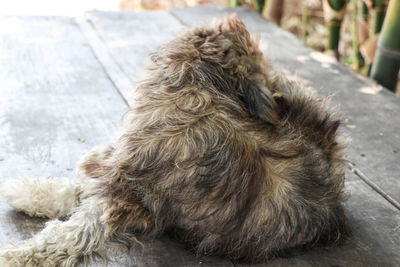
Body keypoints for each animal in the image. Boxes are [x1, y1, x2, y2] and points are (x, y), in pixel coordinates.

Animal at [0, 15, 348, 266]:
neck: (199, 90)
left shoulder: (125, 197)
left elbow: (68, 236)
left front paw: (17, 256)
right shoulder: (121, 179)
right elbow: (75, 190)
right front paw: (30, 193)